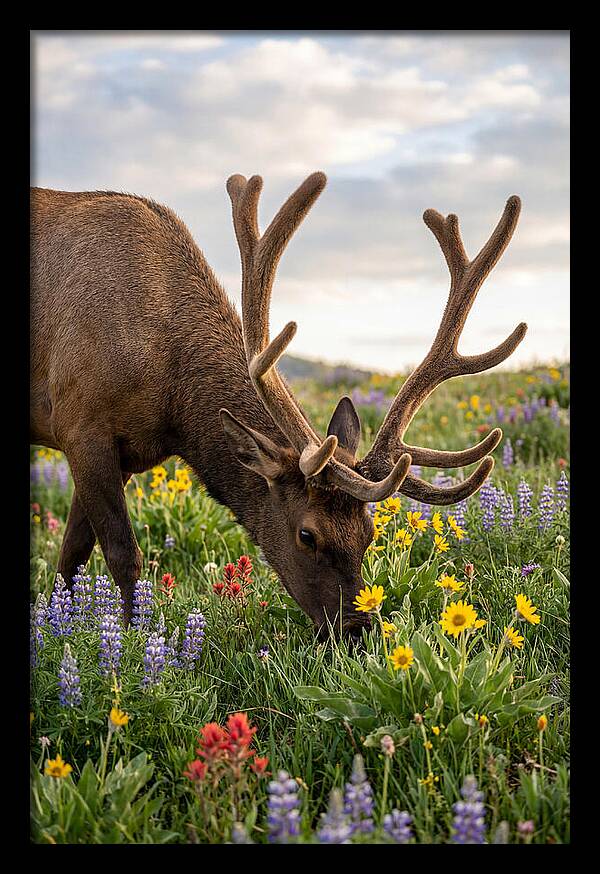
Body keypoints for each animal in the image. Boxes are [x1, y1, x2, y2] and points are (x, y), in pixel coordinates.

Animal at [30, 172, 527, 640]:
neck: (172, 403)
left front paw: (60, 626)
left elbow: (71, 556)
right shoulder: (81, 425)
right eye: (307, 534)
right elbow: (121, 556)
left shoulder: (127, 454)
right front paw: (129, 642)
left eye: (369, 533)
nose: (356, 630)